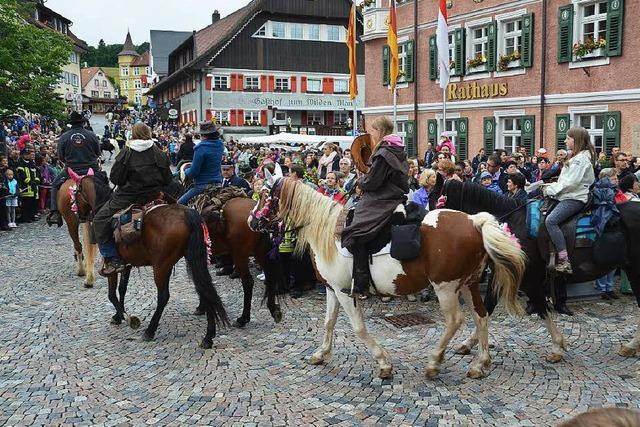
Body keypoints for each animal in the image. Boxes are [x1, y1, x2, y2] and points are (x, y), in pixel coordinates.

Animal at [249, 179, 524, 380]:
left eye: (266, 196)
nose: (251, 220)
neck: (329, 231)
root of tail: (474, 220)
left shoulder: (345, 292)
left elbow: (359, 328)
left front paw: (383, 363)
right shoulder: (331, 289)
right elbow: (328, 323)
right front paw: (321, 353)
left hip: (445, 288)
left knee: (456, 321)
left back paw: (434, 361)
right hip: (468, 284)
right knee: (481, 316)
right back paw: (480, 363)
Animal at [438, 179, 640, 362]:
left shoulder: (529, 279)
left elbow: (542, 309)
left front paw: (557, 347)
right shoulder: (500, 275)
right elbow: (487, 307)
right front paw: (467, 343)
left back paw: (631, 345)